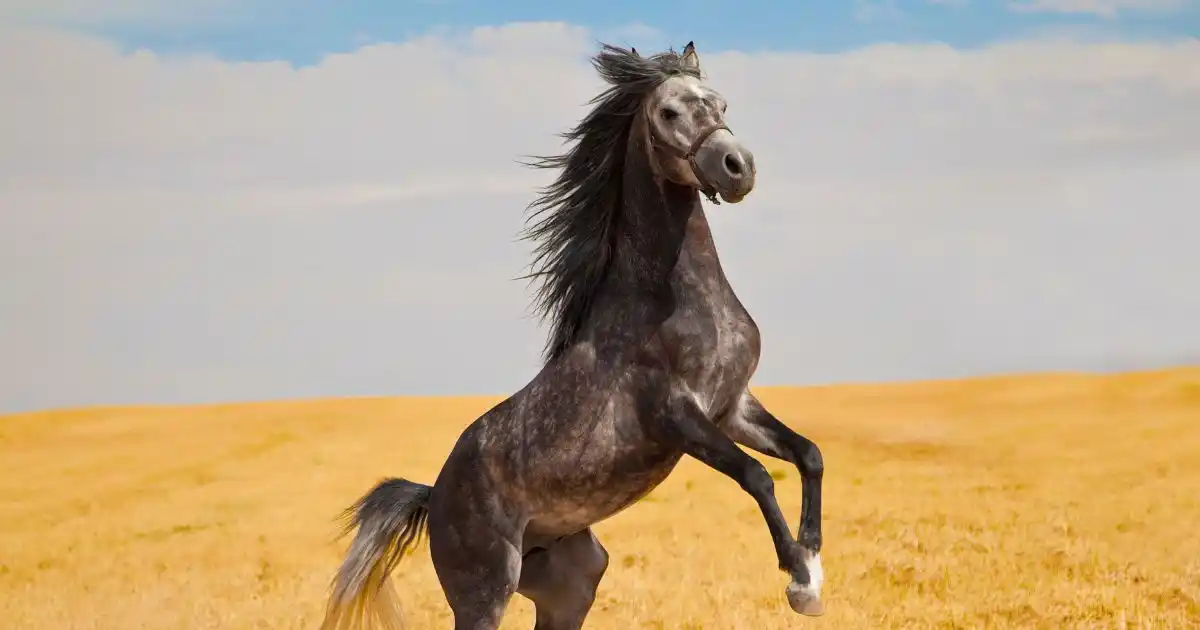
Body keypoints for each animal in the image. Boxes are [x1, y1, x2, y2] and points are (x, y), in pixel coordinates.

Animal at [319, 41, 826, 630]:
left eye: (721, 103)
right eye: (668, 112)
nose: (738, 167)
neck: (674, 297)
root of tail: (433, 495)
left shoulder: (733, 406)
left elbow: (808, 454)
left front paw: (814, 566)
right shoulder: (676, 416)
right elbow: (757, 475)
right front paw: (797, 578)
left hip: (571, 584)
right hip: (485, 591)